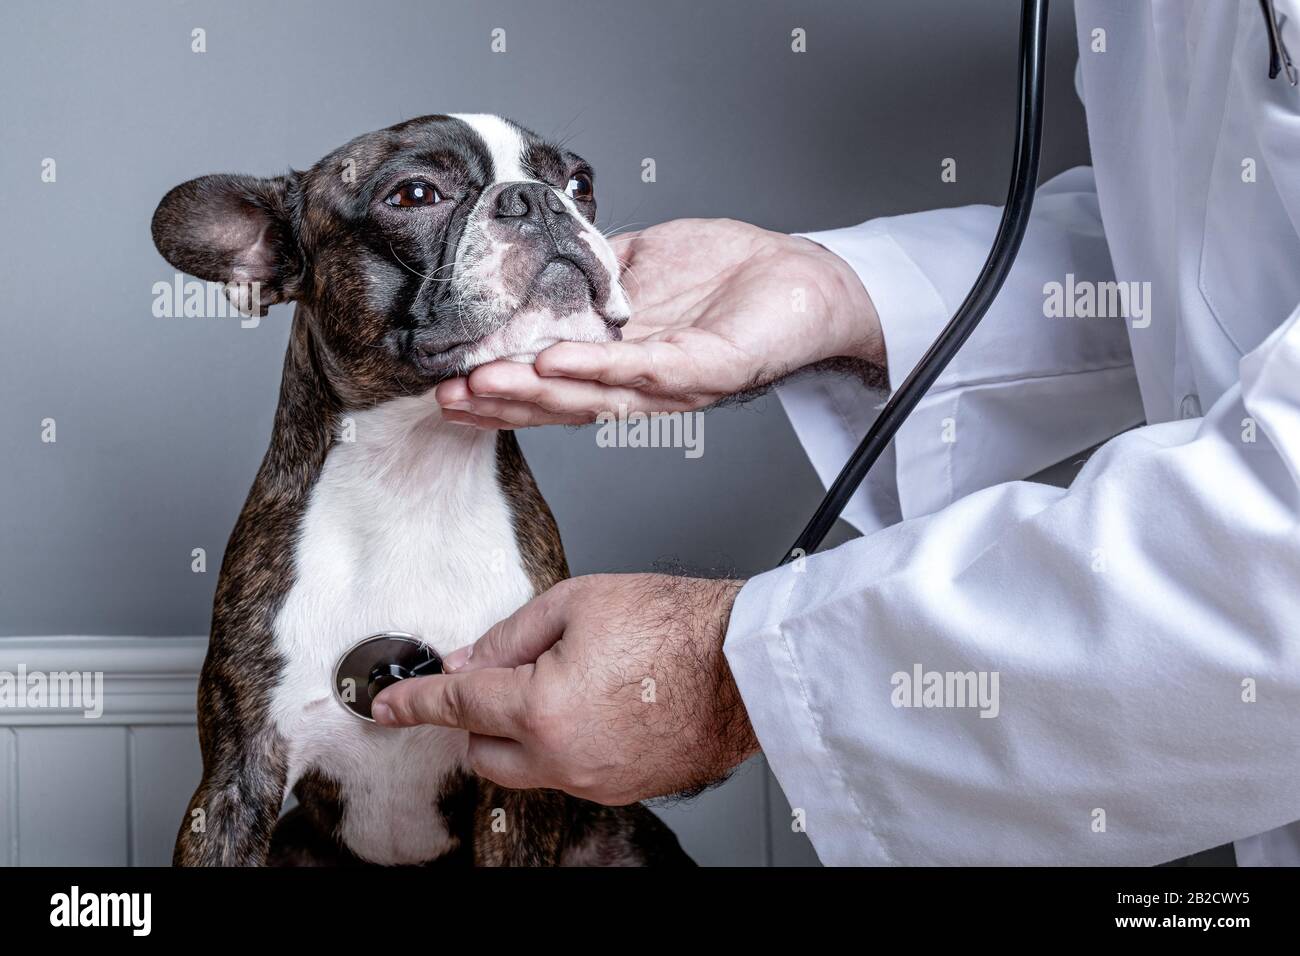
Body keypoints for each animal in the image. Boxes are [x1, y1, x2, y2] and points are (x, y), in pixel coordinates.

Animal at [152, 111, 696, 868]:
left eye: (579, 184)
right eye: (414, 194)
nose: (536, 200)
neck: (415, 469)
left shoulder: (517, 790)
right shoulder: (235, 780)